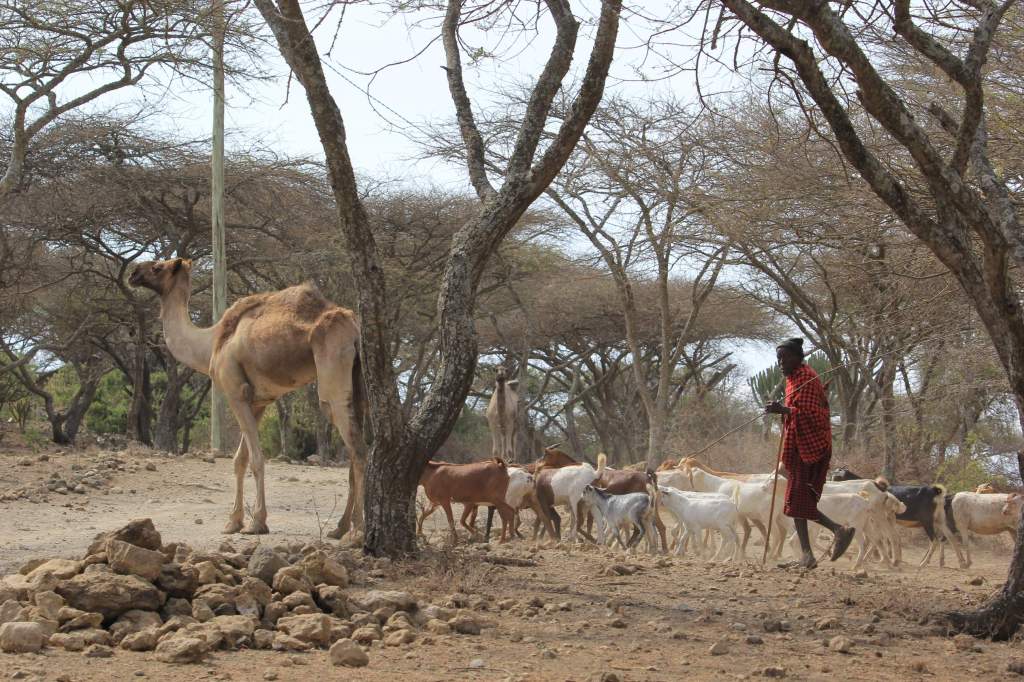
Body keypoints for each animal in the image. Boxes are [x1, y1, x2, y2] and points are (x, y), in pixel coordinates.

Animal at [129, 258, 367, 537]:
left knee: (355, 445)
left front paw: (256, 523)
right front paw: (233, 521)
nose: (133, 273)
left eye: (158, 267)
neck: (210, 343)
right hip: (359, 381)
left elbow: (255, 459)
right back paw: (339, 529)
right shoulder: (259, 401)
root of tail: (354, 330)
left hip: (332, 368)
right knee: (354, 444)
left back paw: (357, 533)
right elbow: (239, 459)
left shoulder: (236, 392)